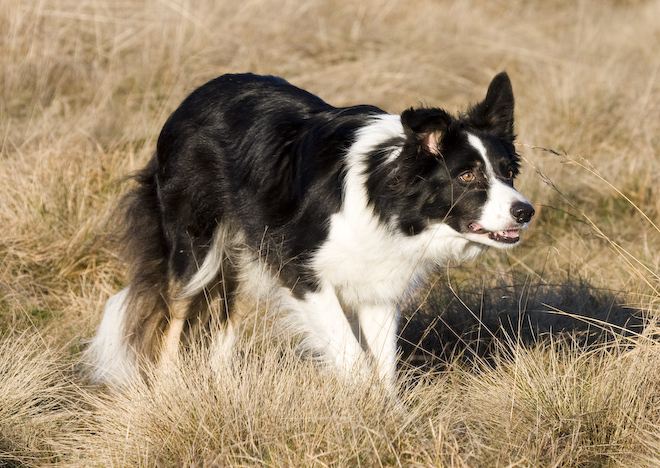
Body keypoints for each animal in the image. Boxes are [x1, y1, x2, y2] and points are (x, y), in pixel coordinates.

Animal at [85, 72, 532, 384]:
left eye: (507, 172)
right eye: (468, 176)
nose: (525, 211)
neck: (385, 195)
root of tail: (191, 99)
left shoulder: (378, 283)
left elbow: (383, 365)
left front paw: (388, 422)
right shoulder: (302, 270)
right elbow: (354, 359)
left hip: (247, 257)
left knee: (226, 323)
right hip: (195, 246)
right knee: (174, 315)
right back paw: (167, 391)